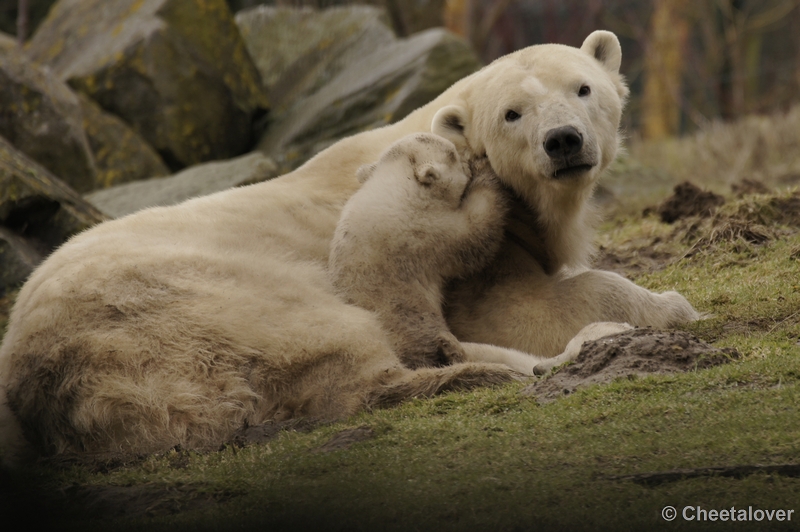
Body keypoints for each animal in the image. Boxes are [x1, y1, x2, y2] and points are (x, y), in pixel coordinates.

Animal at [0, 31, 692, 462]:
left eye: (582, 88)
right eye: (512, 114)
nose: (564, 141)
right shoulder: (464, 253)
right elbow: (522, 308)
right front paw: (666, 306)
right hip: (185, 312)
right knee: (347, 349)